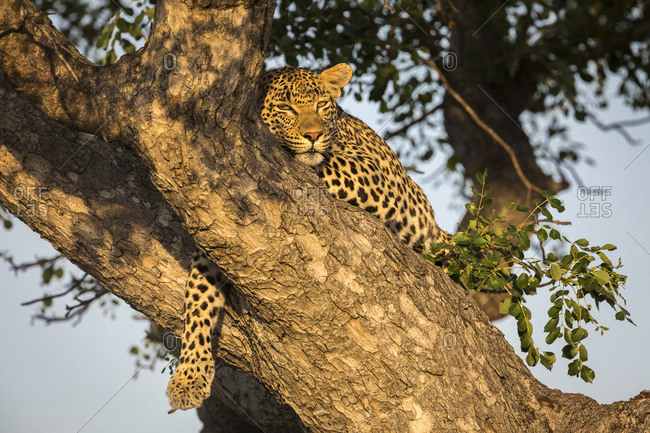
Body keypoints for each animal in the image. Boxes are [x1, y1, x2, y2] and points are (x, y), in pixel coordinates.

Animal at [166, 63, 452, 411]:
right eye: (285, 108)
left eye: (321, 105)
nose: (313, 136)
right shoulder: (213, 242)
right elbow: (197, 302)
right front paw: (188, 377)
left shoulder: (379, 178)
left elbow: (325, 163)